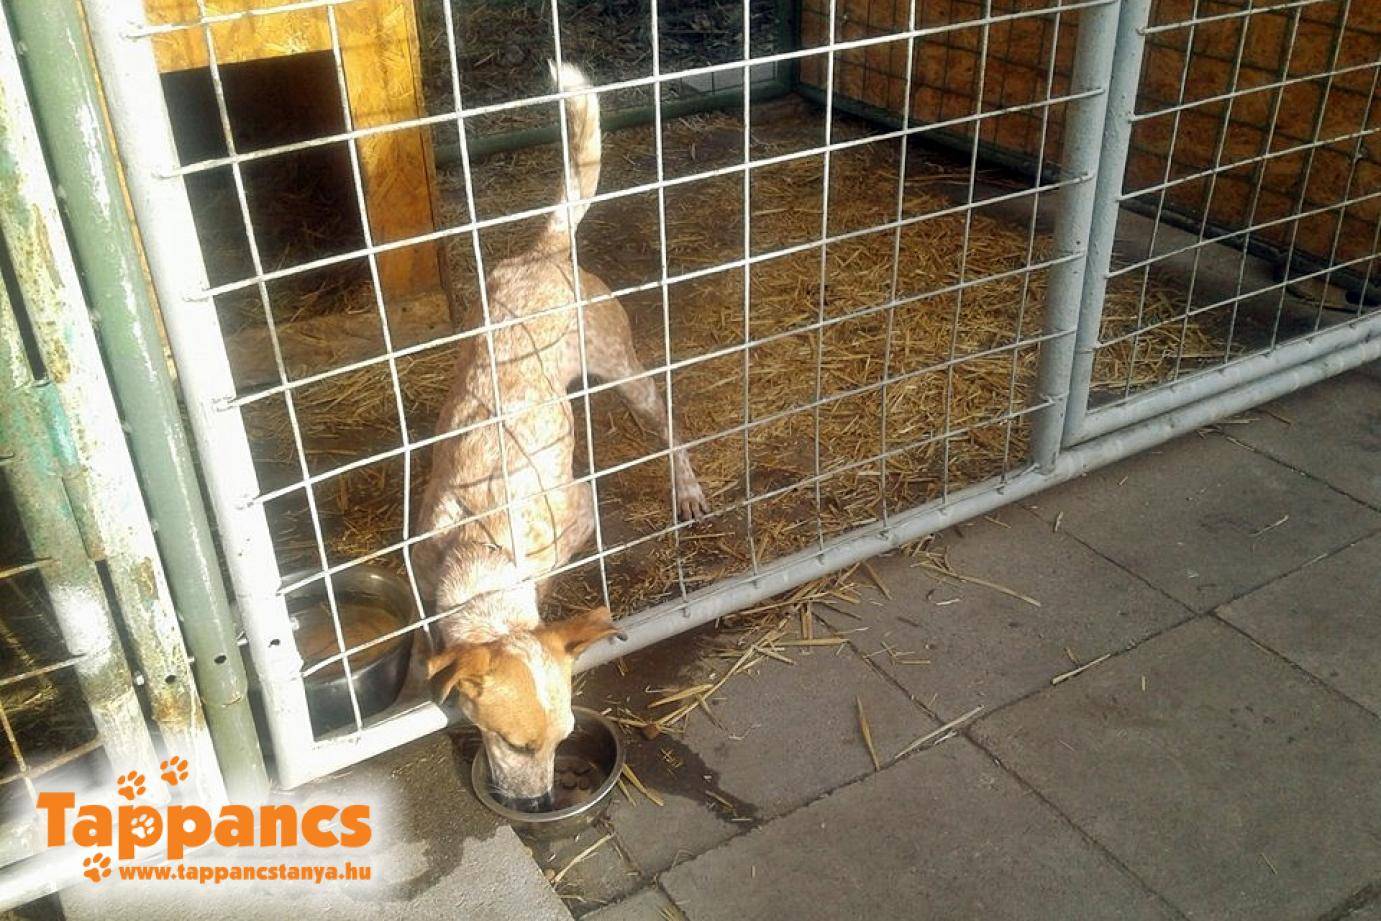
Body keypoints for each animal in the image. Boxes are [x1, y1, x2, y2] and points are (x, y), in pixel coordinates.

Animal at [414, 63, 709, 808]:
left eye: (563, 739)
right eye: (514, 743)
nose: (541, 804)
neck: (483, 542)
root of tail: (545, 249)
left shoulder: (577, 519)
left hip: (626, 372)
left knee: (670, 430)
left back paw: (687, 490)